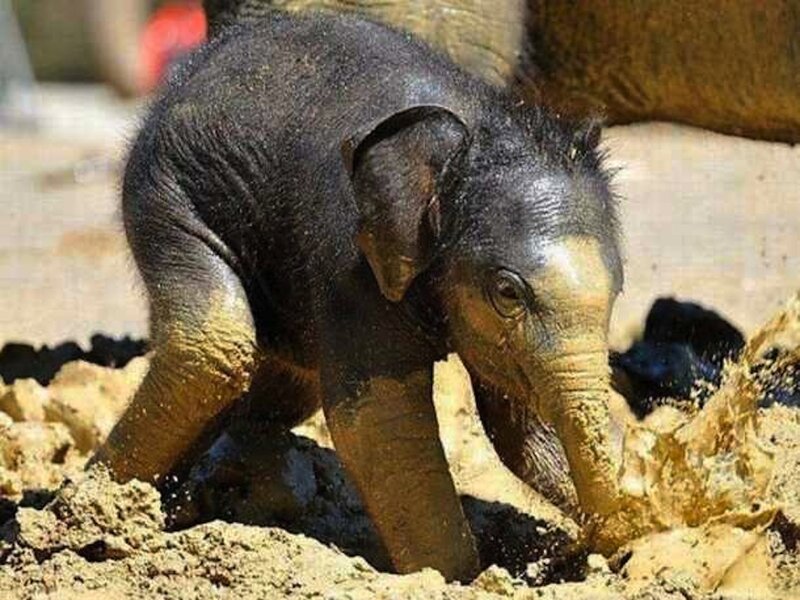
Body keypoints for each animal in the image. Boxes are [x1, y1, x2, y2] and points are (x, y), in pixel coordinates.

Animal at [90, 10, 623, 581]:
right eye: (507, 292)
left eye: (618, 290)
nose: (583, 548)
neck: (471, 132)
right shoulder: (348, 258)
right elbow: (378, 418)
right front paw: (452, 578)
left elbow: (517, 425)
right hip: (167, 194)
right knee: (212, 347)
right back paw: (83, 512)